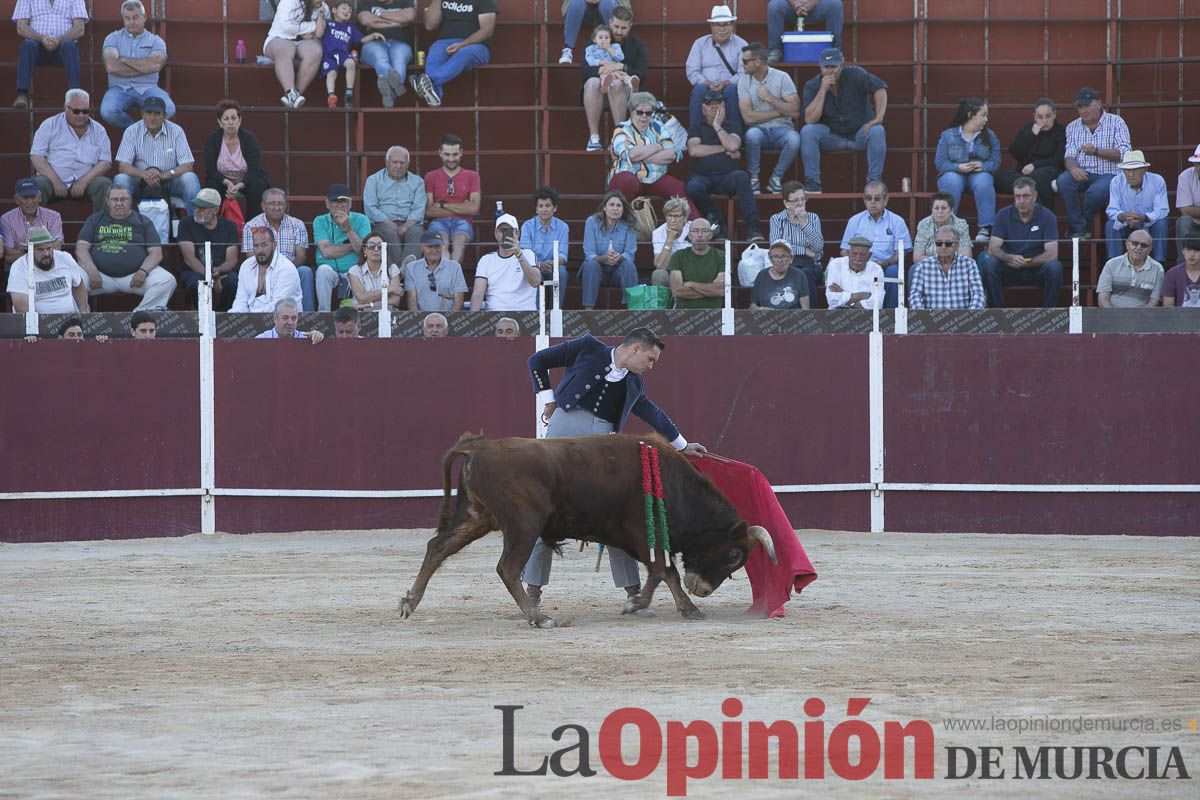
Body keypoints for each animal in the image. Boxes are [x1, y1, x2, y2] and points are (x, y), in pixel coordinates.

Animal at [398, 431, 772, 623]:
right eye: (735, 554)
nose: (704, 589)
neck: (671, 482)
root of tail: (478, 446)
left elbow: (666, 572)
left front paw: (688, 608)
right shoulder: (642, 533)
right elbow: (661, 569)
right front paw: (637, 604)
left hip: (477, 517)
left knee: (437, 548)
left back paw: (408, 603)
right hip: (523, 524)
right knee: (508, 568)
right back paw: (538, 616)